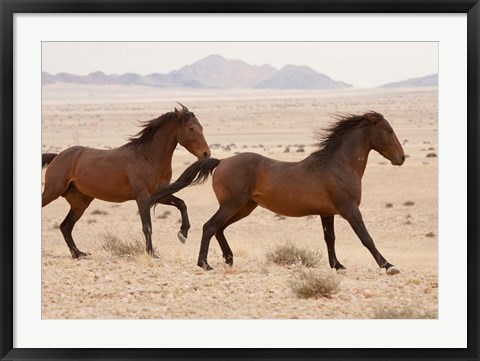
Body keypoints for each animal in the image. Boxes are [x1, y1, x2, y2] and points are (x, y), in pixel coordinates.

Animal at [42, 102, 211, 258]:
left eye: (202, 128)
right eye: (191, 128)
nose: (206, 153)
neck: (147, 158)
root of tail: (57, 156)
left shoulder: (158, 194)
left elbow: (181, 204)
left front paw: (183, 233)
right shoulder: (142, 197)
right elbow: (147, 226)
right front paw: (151, 253)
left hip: (80, 202)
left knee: (66, 226)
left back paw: (78, 254)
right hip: (53, 192)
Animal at [152, 111, 406, 274]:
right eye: (389, 130)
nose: (401, 158)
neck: (338, 165)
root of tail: (221, 161)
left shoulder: (327, 213)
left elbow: (330, 239)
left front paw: (338, 266)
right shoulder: (349, 209)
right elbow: (366, 238)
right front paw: (388, 266)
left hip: (243, 208)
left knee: (219, 229)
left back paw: (229, 259)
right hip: (232, 205)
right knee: (210, 227)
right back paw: (205, 264)